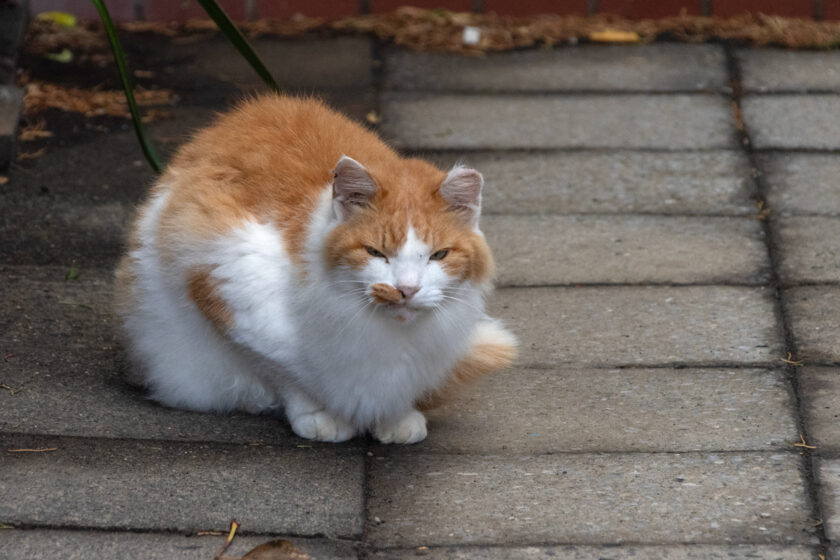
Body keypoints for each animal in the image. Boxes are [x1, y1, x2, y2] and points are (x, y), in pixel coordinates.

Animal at [115, 97, 516, 446]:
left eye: (438, 255)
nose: (406, 289)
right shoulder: (222, 277)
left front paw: (396, 417)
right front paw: (318, 416)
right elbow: (288, 372)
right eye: (375, 253)